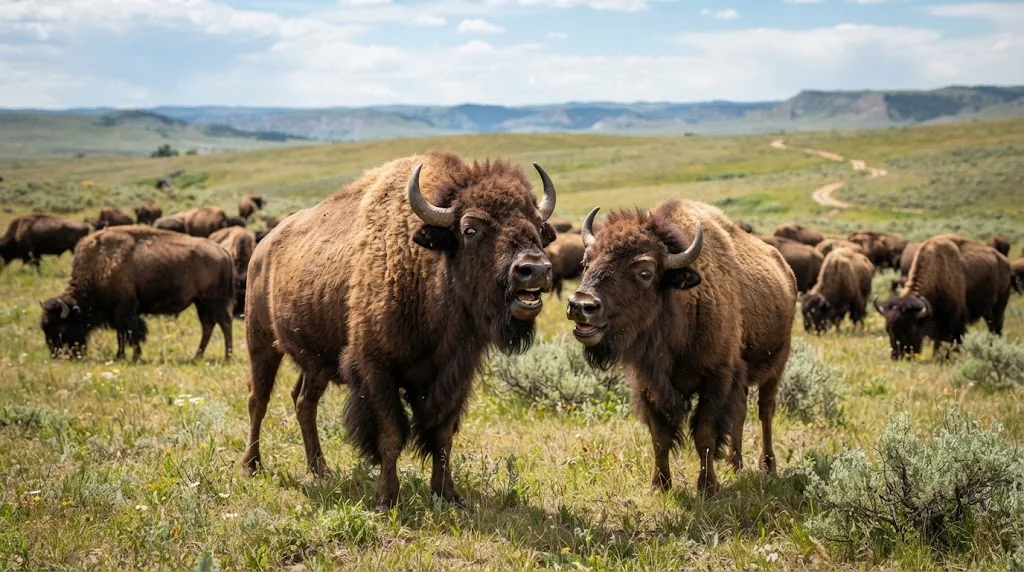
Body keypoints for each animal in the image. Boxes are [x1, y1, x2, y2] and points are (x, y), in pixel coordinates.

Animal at [40, 226, 234, 361]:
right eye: (45, 327)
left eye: (61, 327)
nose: (55, 354)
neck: (100, 264)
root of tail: (222, 251)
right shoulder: (117, 314)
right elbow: (122, 334)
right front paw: (121, 356)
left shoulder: (124, 310)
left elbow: (131, 333)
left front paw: (133, 356)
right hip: (201, 303)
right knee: (208, 326)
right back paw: (197, 356)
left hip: (213, 301)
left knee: (224, 323)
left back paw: (227, 357)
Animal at [242, 152, 558, 509]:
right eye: (470, 229)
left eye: (538, 226)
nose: (535, 269)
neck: (425, 265)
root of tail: (262, 248)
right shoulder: (377, 370)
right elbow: (390, 434)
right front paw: (386, 498)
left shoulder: (455, 375)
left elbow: (443, 436)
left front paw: (449, 494)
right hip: (261, 342)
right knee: (258, 399)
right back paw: (252, 465)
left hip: (316, 361)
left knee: (303, 402)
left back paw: (320, 469)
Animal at [567, 200, 796, 493]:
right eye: (587, 262)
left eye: (645, 273)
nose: (580, 305)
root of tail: (785, 268)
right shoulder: (649, 385)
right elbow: (660, 437)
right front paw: (659, 485)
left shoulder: (717, 379)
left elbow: (704, 435)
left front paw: (708, 487)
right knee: (742, 413)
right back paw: (735, 464)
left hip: (777, 364)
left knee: (765, 411)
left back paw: (767, 465)